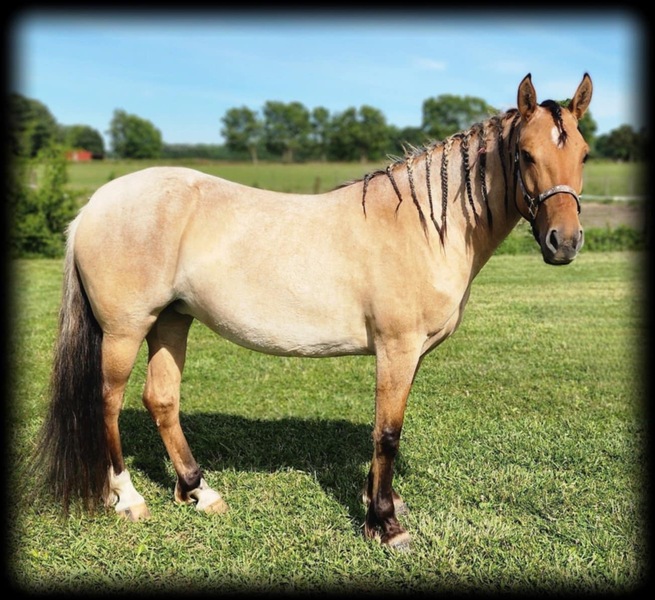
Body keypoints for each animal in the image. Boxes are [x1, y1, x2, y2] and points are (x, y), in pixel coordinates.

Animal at [33, 71, 592, 548]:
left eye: (584, 155)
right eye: (526, 154)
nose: (564, 243)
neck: (423, 226)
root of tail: (94, 205)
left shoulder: (408, 355)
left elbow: (382, 429)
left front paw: (380, 503)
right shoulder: (397, 348)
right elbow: (387, 433)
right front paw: (385, 525)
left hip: (171, 320)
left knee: (161, 400)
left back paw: (199, 492)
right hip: (125, 330)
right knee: (108, 402)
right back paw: (128, 498)